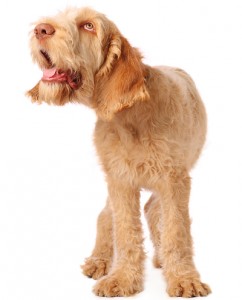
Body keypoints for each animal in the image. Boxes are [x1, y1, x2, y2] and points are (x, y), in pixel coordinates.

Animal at [27, 6, 211, 298]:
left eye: (88, 26)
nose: (40, 29)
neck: (131, 114)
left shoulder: (174, 180)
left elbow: (176, 230)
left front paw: (183, 278)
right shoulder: (121, 180)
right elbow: (124, 231)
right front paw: (123, 278)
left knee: (152, 209)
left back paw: (161, 256)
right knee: (107, 215)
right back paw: (100, 260)